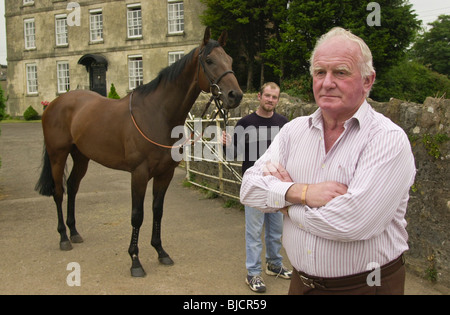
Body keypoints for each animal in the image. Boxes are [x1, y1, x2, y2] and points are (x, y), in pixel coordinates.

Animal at [35, 28, 243, 278]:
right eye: (210, 60)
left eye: (229, 59)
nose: (235, 95)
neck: (157, 114)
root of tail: (54, 103)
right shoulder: (139, 174)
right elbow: (137, 215)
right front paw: (135, 260)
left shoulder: (165, 174)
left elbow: (157, 211)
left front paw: (161, 251)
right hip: (58, 155)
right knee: (59, 191)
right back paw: (64, 237)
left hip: (81, 157)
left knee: (73, 187)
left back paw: (74, 231)